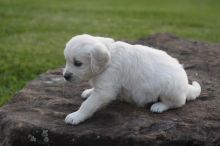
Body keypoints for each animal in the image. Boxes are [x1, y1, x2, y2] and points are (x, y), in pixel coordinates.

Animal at [62, 34, 201, 124]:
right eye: (66, 60)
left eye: (78, 63)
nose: (65, 76)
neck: (110, 58)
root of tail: (186, 86)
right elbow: (93, 93)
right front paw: (89, 91)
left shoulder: (105, 90)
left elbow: (88, 104)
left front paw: (76, 116)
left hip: (170, 88)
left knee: (178, 103)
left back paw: (159, 106)